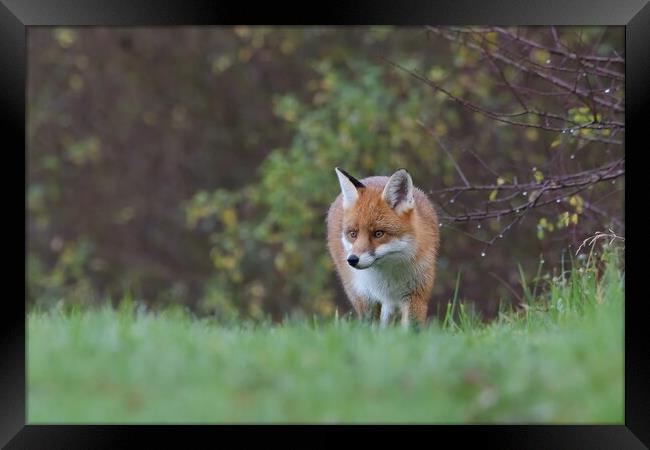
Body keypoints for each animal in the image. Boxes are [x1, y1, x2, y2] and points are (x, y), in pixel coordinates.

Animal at [324, 168, 440, 326]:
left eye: (378, 233)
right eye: (353, 234)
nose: (352, 260)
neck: (386, 276)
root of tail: (373, 177)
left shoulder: (416, 294)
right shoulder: (366, 297)